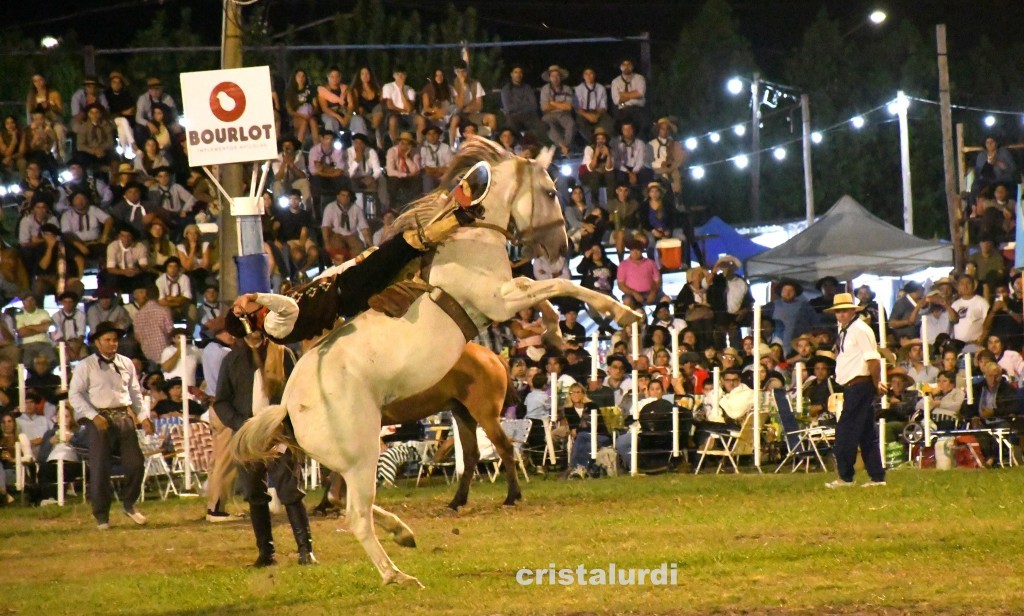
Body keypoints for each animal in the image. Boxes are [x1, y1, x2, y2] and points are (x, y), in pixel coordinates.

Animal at [231, 138, 642, 587]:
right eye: (550, 193)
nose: (561, 247)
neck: (468, 242)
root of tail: (289, 406)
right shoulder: (499, 301)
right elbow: (556, 283)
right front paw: (621, 312)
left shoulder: (507, 296)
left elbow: (542, 289)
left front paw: (556, 327)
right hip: (363, 450)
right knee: (355, 513)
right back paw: (397, 574)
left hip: (360, 453)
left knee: (352, 500)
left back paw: (403, 533)